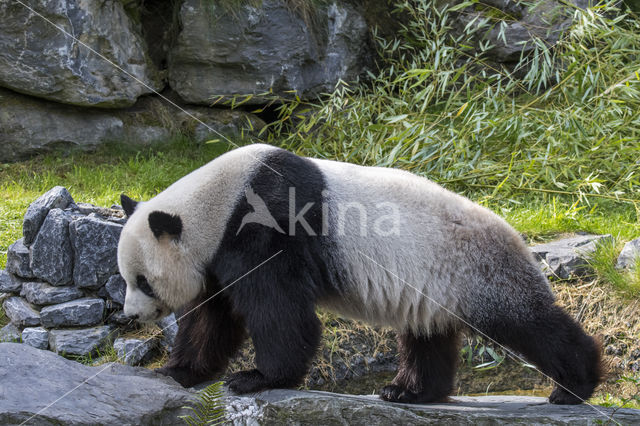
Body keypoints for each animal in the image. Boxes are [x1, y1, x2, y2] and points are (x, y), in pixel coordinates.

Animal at [117, 142, 604, 402]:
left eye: (142, 280)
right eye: (126, 279)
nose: (130, 316)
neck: (217, 204)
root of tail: (517, 234)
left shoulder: (265, 225)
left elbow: (278, 310)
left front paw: (256, 378)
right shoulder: (216, 254)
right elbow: (212, 317)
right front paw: (178, 371)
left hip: (479, 270)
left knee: (528, 323)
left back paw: (574, 386)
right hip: (436, 284)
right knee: (428, 335)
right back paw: (408, 391)